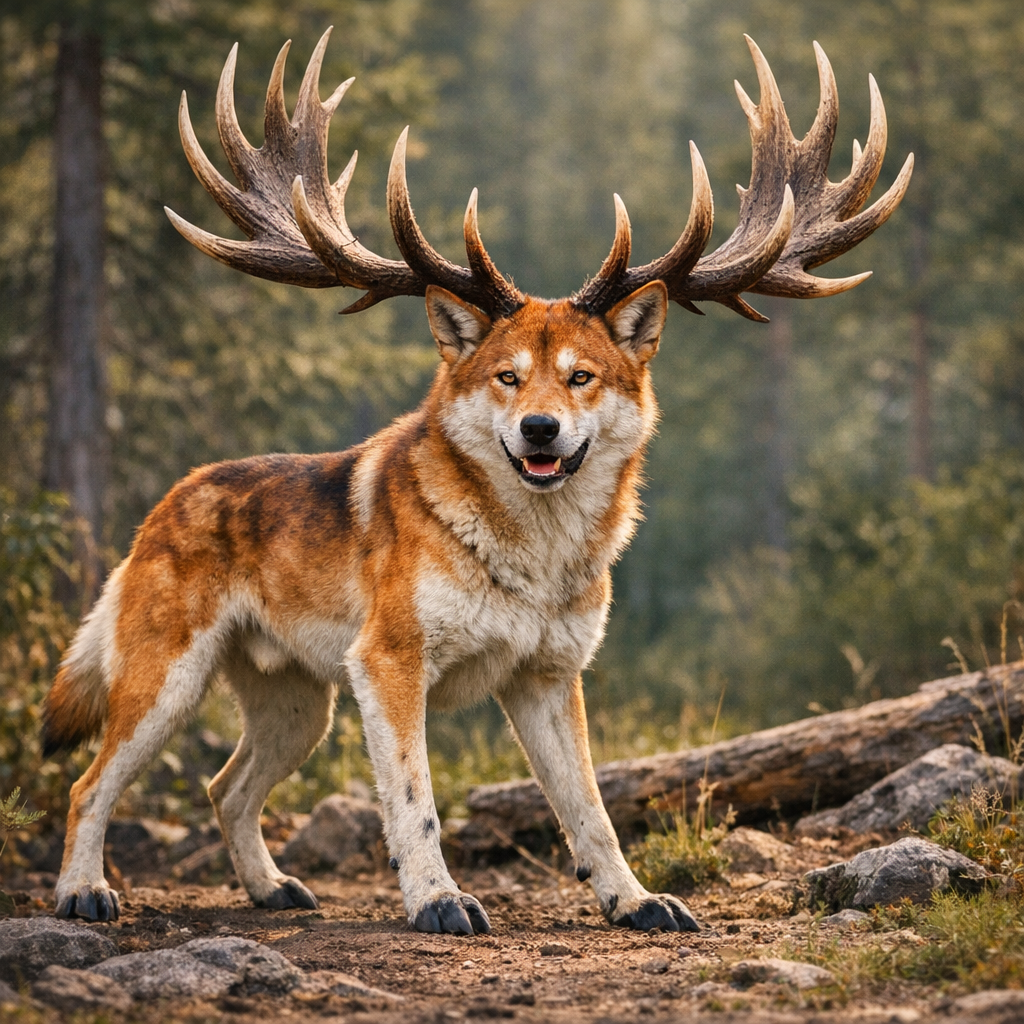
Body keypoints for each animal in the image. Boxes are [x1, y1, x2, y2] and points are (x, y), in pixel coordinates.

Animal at [44, 27, 912, 934]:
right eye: (506, 375)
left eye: (581, 377)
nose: (540, 430)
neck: (535, 564)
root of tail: (158, 511)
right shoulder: (388, 662)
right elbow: (414, 799)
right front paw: (439, 901)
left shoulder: (550, 676)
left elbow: (590, 808)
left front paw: (638, 901)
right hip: (169, 680)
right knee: (87, 783)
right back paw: (83, 893)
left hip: (297, 703)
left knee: (225, 786)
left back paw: (274, 888)